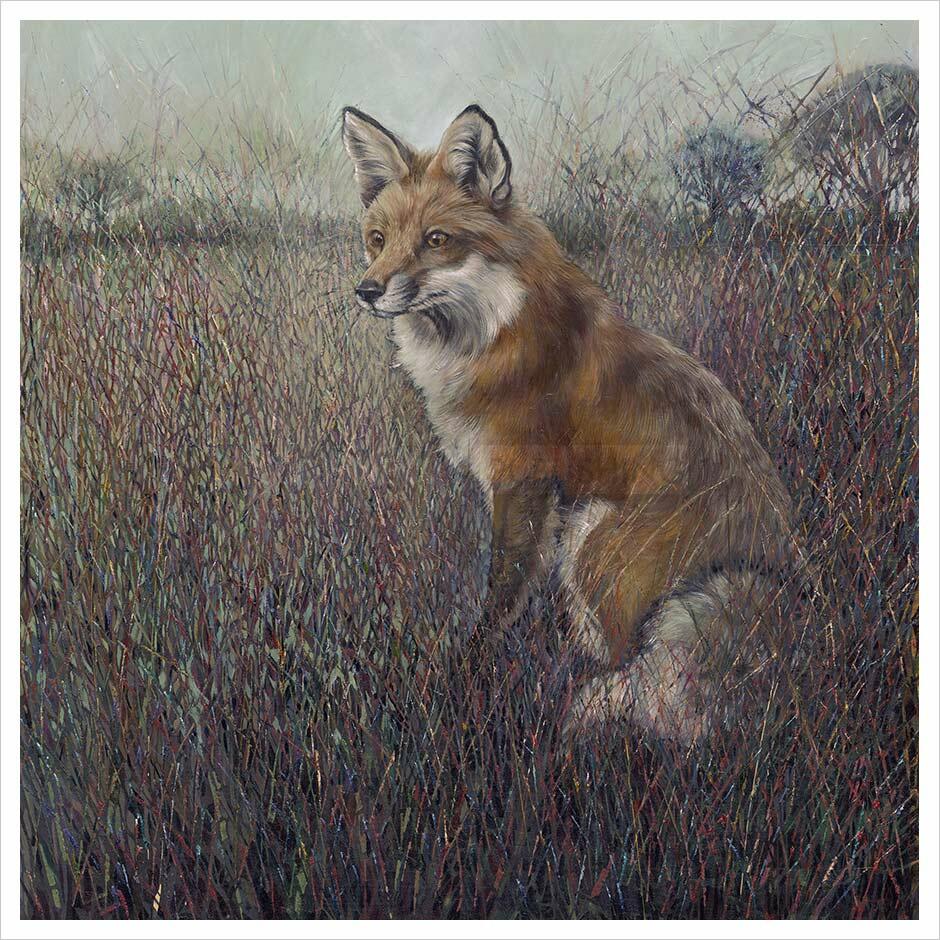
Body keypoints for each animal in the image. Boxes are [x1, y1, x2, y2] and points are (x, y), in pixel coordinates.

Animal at [341, 103, 796, 742]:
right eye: (378, 239)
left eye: (436, 240)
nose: (367, 290)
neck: (495, 328)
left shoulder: (523, 481)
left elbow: (501, 594)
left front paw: (468, 671)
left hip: (595, 543)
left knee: (635, 679)